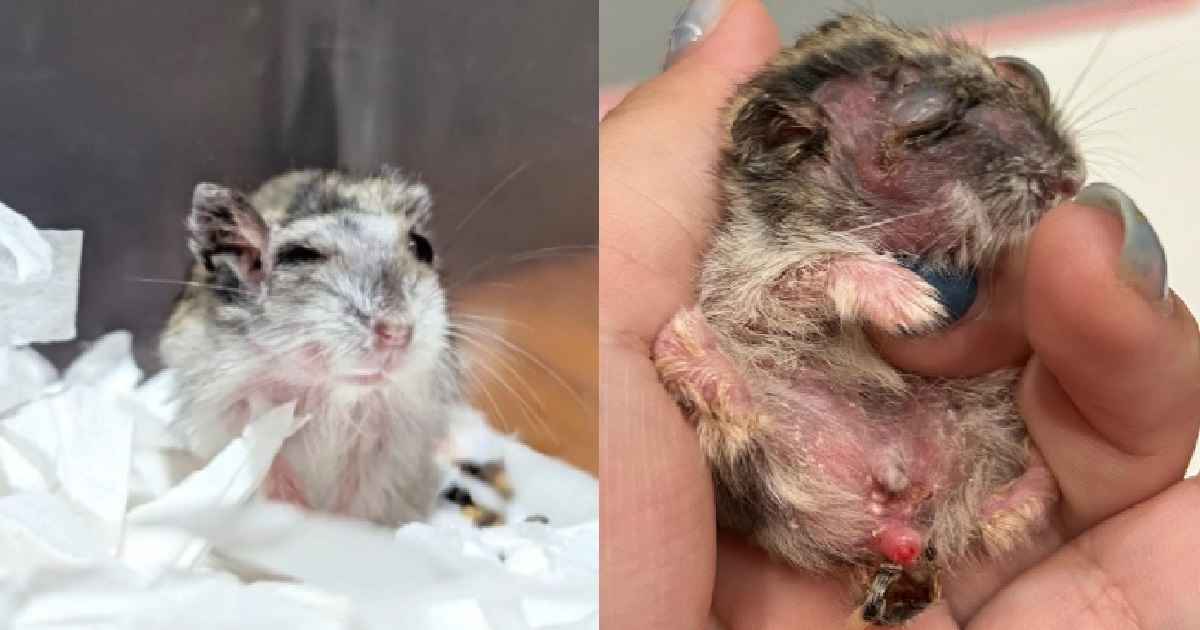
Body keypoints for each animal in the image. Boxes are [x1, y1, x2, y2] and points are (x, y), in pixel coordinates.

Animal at [160, 169, 511, 528]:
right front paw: (302, 516)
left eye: (422, 247)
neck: (329, 386)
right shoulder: (230, 407)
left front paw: (342, 528)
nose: (397, 332)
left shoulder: (393, 433)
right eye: (301, 256)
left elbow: (360, 488)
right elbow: (272, 467)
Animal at [652, 14, 1084, 626]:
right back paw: (693, 352)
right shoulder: (745, 281)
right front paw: (915, 303)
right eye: (933, 122)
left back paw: (1035, 483)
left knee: (987, 523)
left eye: (1019, 78)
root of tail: (896, 521)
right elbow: (814, 270)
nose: (1074, 179)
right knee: (742, 420)